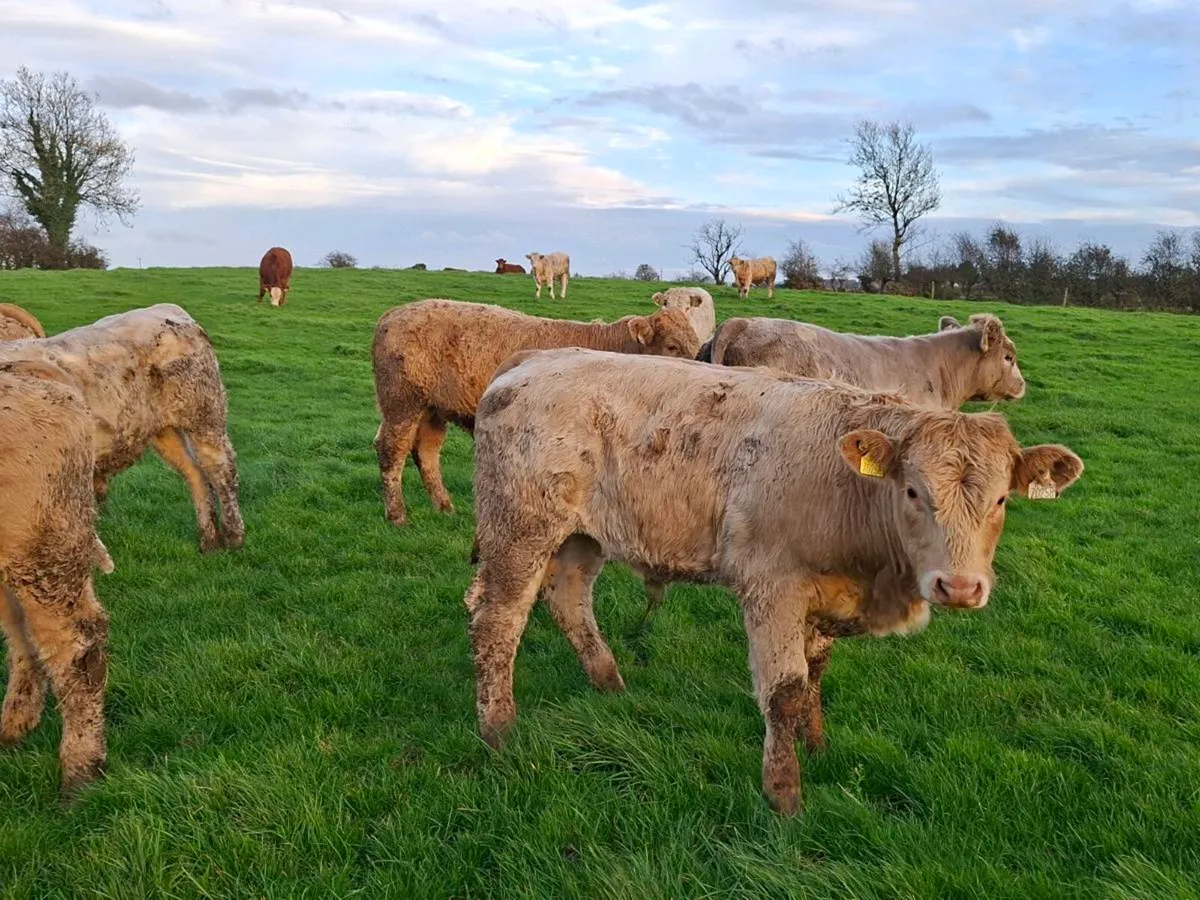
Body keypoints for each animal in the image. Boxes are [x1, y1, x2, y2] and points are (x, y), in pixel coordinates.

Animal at [0, 305, 245, 553]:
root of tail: (168, 308)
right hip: (163, 430)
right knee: (194, 472)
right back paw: (209, 540)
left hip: (205, 415)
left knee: (221, 470)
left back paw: (234, 536)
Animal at [372, 298, 701, 526]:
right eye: (672, 346)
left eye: (697, 346)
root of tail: (392, 314)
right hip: (402, 402)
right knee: (392, 449)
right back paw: (397, 514)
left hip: (432, 409)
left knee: (426, 451)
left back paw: (444, 507)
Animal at [464, 348, 1083, 814]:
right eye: (913, 491)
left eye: (1001, 499)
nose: (958, 587)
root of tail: (535, 358)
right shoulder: (774, 590)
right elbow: (784, 691)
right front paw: (784, 793)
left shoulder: (827, 596)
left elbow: (815, 674)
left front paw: (817, 744)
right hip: (520, 531)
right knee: (498, 620)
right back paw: (499, 729)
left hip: (581, 538)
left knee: (569, 599)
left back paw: (610, 684)